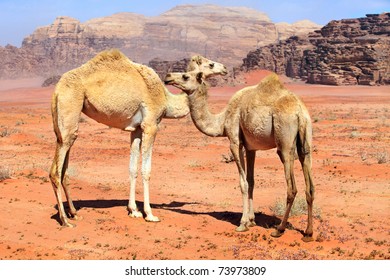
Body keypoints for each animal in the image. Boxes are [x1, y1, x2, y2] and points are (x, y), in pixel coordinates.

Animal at [49, 48, 227, 228]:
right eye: (210, 64)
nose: (224, 68)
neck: (166, 100)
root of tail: (57, 89)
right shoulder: (150, 125)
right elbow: (146, 170)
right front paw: (149, 214)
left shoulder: (136, 130)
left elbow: (133, 168)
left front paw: (133, 210)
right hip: (70, 106)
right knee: (55, 172)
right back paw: (65, 220)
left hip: (65, 126)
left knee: (64, 168)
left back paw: (74, 213)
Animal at [164, 71, 314, 242]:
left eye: (185, 76)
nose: (168, 76)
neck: (222, 121)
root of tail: (299, 112)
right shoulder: (251, 148)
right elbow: (251, 181)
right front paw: (252, 220)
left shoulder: (235, 142)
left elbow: (243, 183)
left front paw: (243, 224)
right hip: (306, 140)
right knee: (310, 184)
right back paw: (308, 233)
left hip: (285, 141)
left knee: (291, 187)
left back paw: (280, 229)